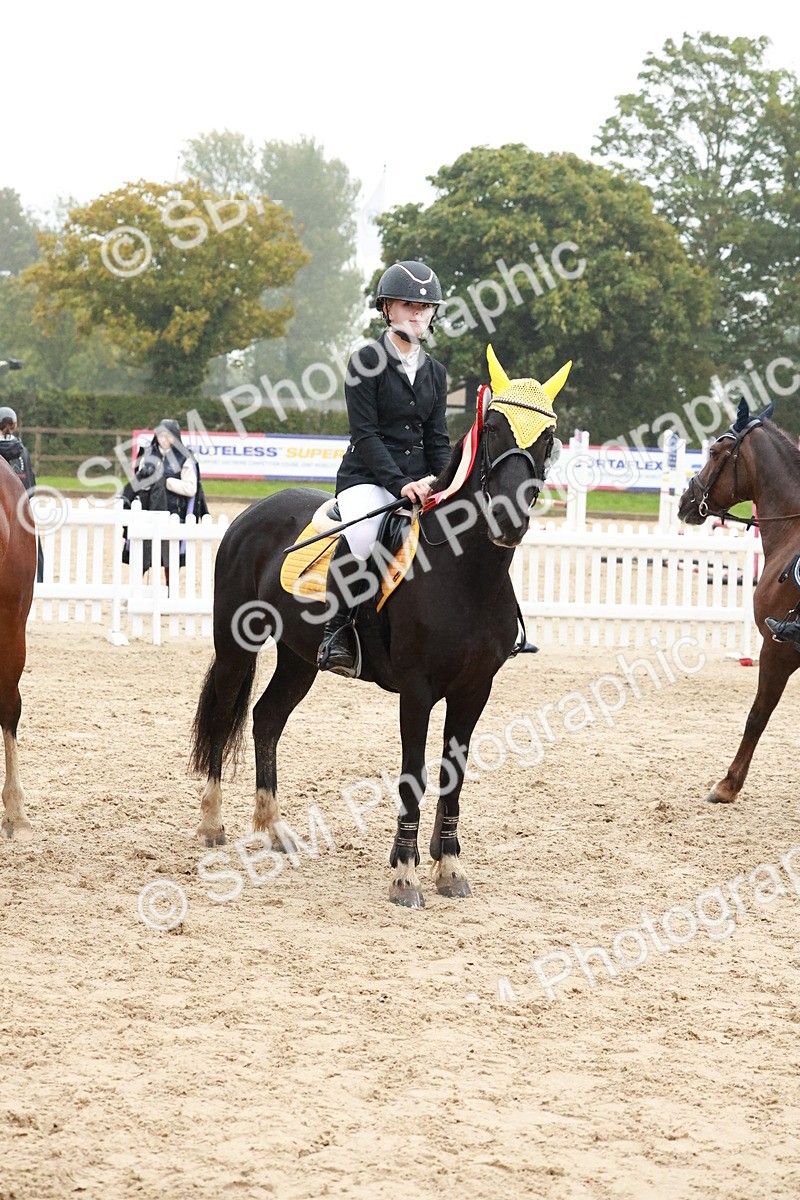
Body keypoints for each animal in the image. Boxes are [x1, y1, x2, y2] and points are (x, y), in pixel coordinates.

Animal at [190, 346, 570, 906]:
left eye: (547, 437)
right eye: (494, 428)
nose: (508, 520)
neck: (467, 572)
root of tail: (253, 513)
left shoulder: (474, 690)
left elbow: (453, 777)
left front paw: (449, 867)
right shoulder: (417, 690)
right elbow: (414, 775)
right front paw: (405, 876)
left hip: (299, 659)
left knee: (266, 719)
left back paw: (275, 830)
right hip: (237, 644)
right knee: (222, 714)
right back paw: (213, 824)